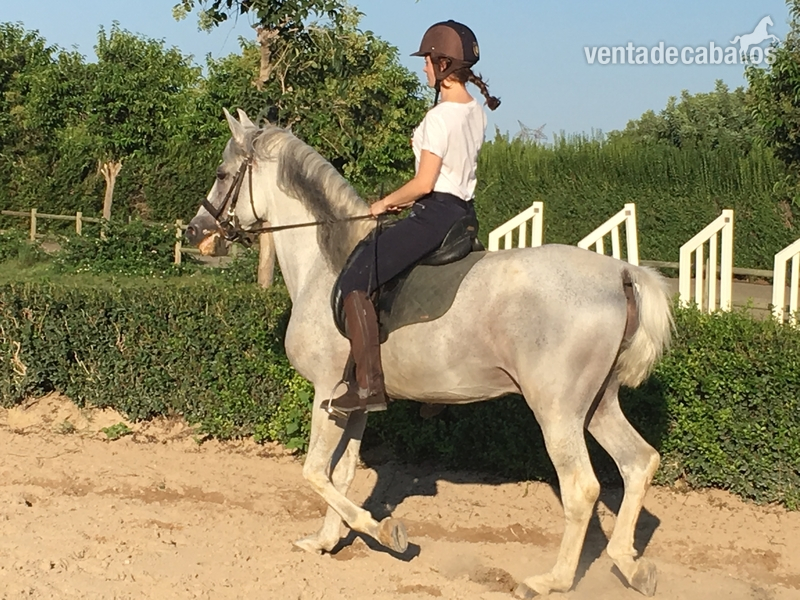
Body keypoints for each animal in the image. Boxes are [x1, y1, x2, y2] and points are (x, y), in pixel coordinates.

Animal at [185, 109, 674, 598]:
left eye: (222, 174)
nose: (196, 230)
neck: (326, 265)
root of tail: (620, 273)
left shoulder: (325, 392)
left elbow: (314, 471)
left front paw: (384, 532)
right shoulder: (354, 401)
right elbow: (339, 473)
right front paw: (326, 540)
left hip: (557, 411)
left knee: (582, 488)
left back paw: (551, 580)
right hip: (597, 404)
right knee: (638, 462)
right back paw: (630, 565)